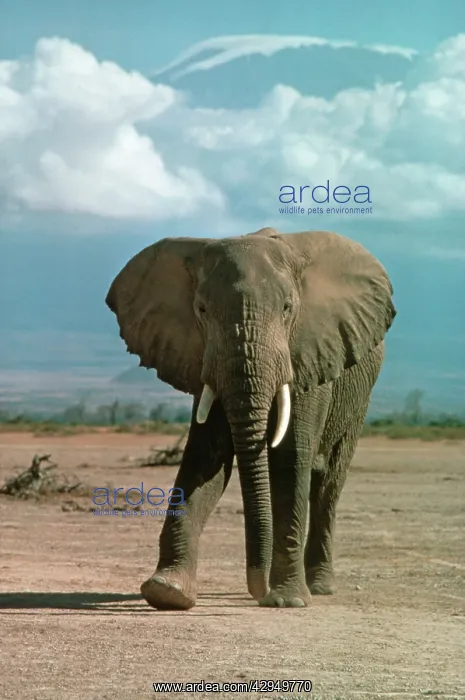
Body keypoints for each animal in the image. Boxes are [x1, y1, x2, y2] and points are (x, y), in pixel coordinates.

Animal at [105, 227, 396, 610]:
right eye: (201, 309)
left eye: (288, 309)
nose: (257, 592)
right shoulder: (203, 358)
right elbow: (206, 459)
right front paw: (166, 591)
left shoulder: (309, 354)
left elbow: (291, 458)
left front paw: (287, 601)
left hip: (359, 398)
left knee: (328, 484)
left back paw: (319, 586)